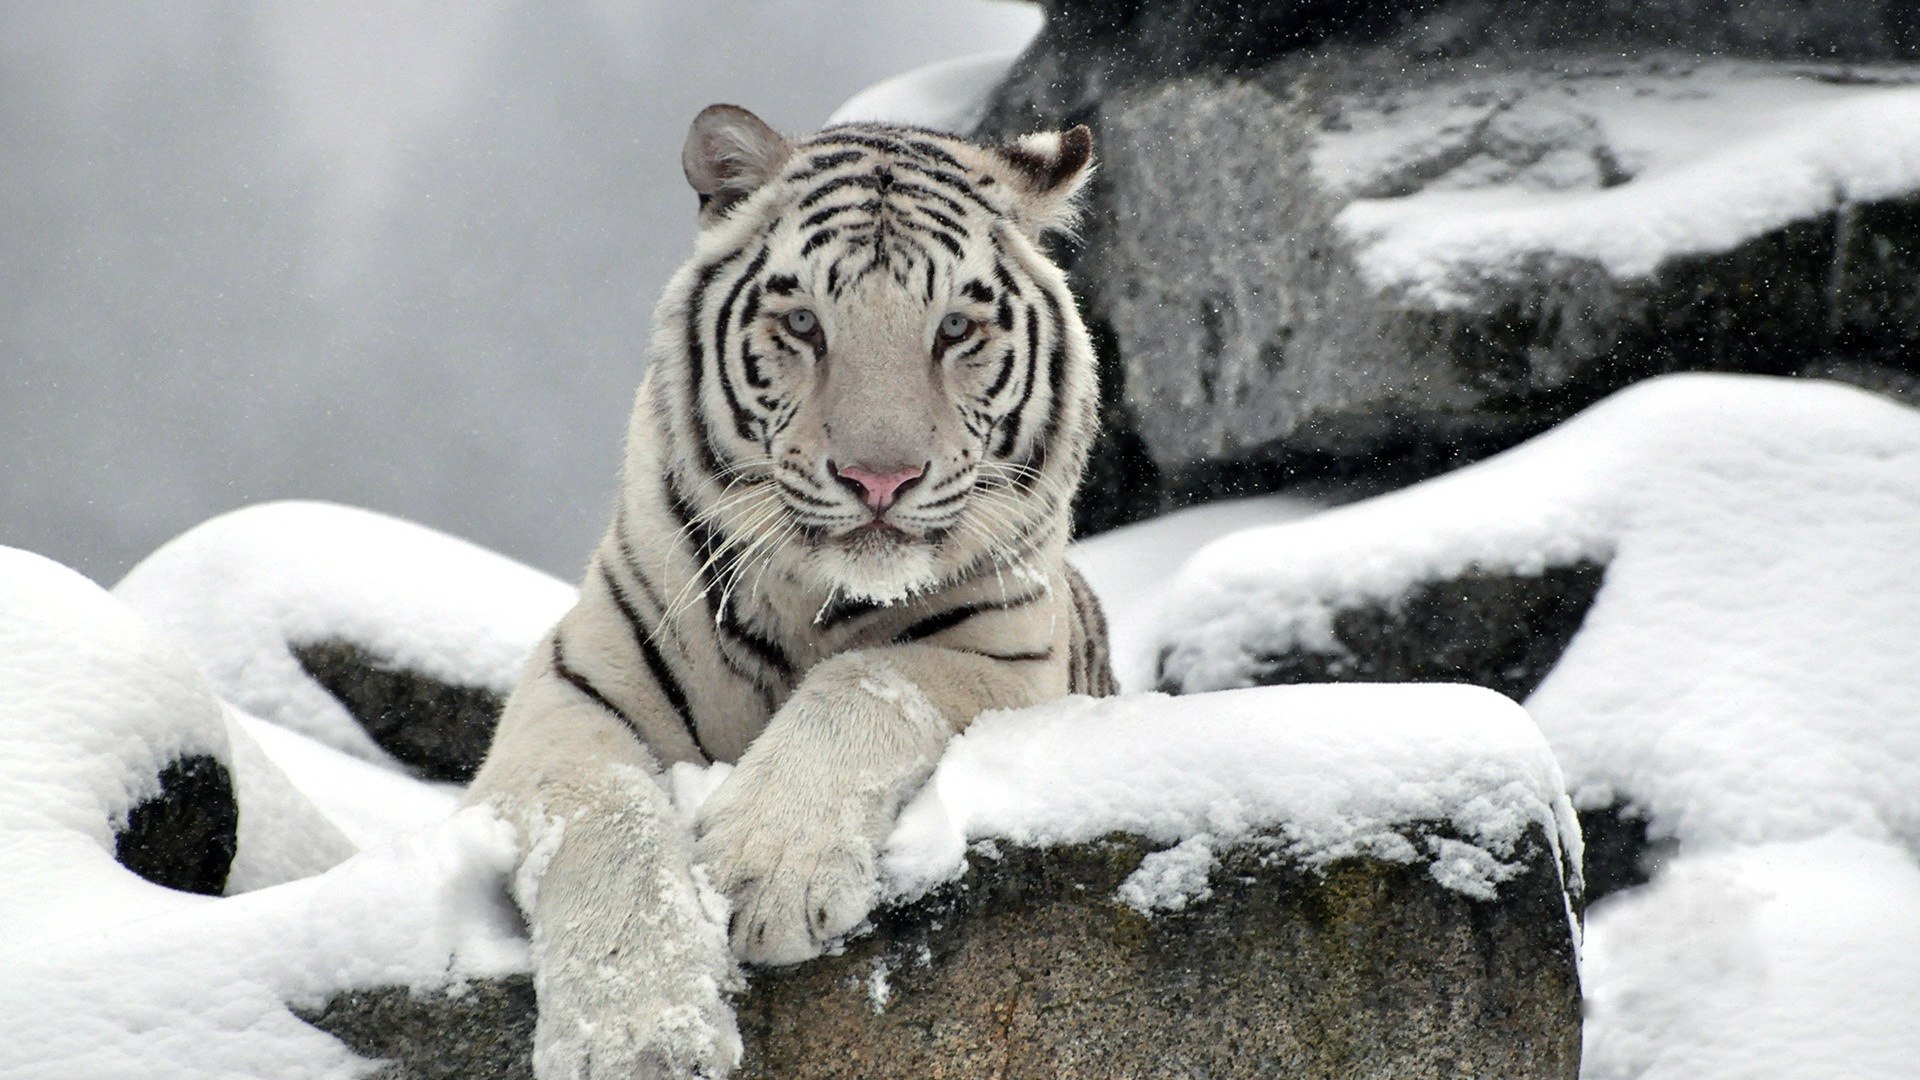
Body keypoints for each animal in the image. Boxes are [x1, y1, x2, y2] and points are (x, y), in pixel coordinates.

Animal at [467, 104, 1113, 1078]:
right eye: (805, 323)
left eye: (955, 329)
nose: (880, 479)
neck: (812, 602)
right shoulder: (569, 691)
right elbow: (605, 814)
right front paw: (641, 1037)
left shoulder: (1008, 659)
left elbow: (868, 682)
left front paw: (764, 872)